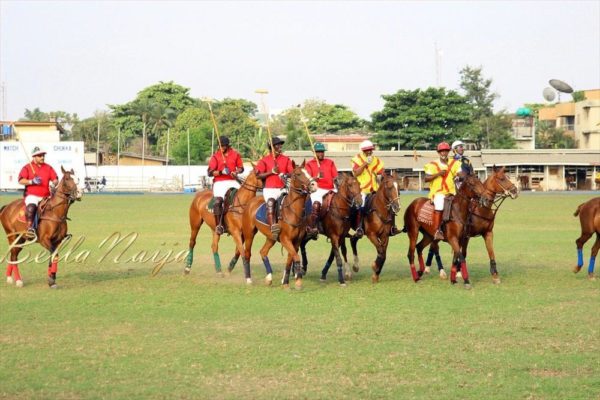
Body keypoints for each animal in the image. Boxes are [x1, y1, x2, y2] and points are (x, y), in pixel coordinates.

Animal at [241, 161, 318, 290]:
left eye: (308, 172)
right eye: (298, 174)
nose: (314, 185)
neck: (293, 211)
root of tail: (251, 202)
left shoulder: (296, 241)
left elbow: (290, 260)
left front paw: (286, 282)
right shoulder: (285, 239)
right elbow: (296, 257)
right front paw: (298, 281)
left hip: (271, 237)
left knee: (263, 251)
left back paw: (269, 278)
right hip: (249, 234)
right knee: (247, 253)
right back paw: (248, 279)